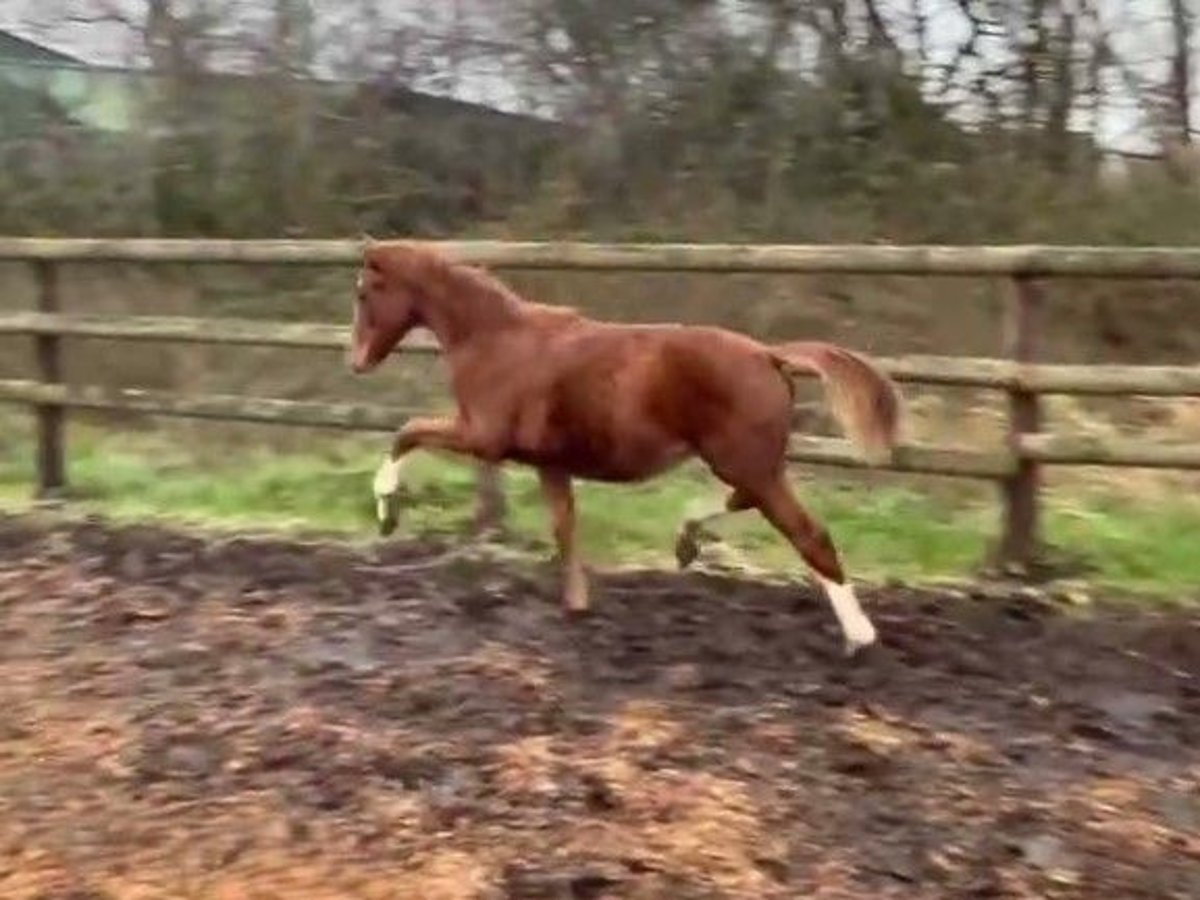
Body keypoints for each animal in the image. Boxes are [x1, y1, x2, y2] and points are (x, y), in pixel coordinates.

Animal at [350, 243, 902, 657]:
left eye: (364, 292)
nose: (355, 361)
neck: (495, 340)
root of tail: (770, 355)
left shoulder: (483, 437)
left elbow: (406, 431)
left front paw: (387, 513)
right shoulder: (550, 462)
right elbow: (565, 527)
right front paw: (576, 605)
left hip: (748, 464)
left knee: (809, 535)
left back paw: (860, 637)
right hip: (749, 464)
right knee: (745, 503)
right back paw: (686, 541)